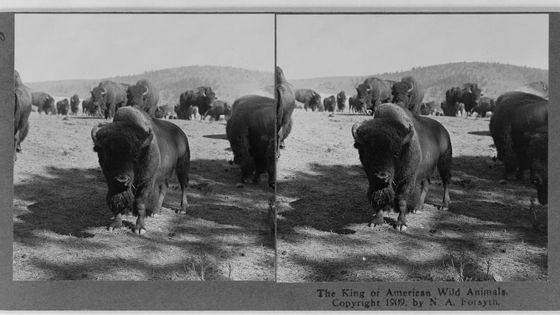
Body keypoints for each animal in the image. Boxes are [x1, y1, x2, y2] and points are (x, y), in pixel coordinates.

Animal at [90, 107, 190, 235]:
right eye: (106, 154)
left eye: (136, 155)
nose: (121, 180)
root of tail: (181, 134)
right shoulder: (111, 184)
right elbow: (116, 202)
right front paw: (115, 225)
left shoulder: (146, 181)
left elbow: (140, 203)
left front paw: (139, 228)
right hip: (163, 173)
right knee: (164, 188)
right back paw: (156, 211)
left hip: (182, 165)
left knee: (183, 185)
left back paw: (182, 209)